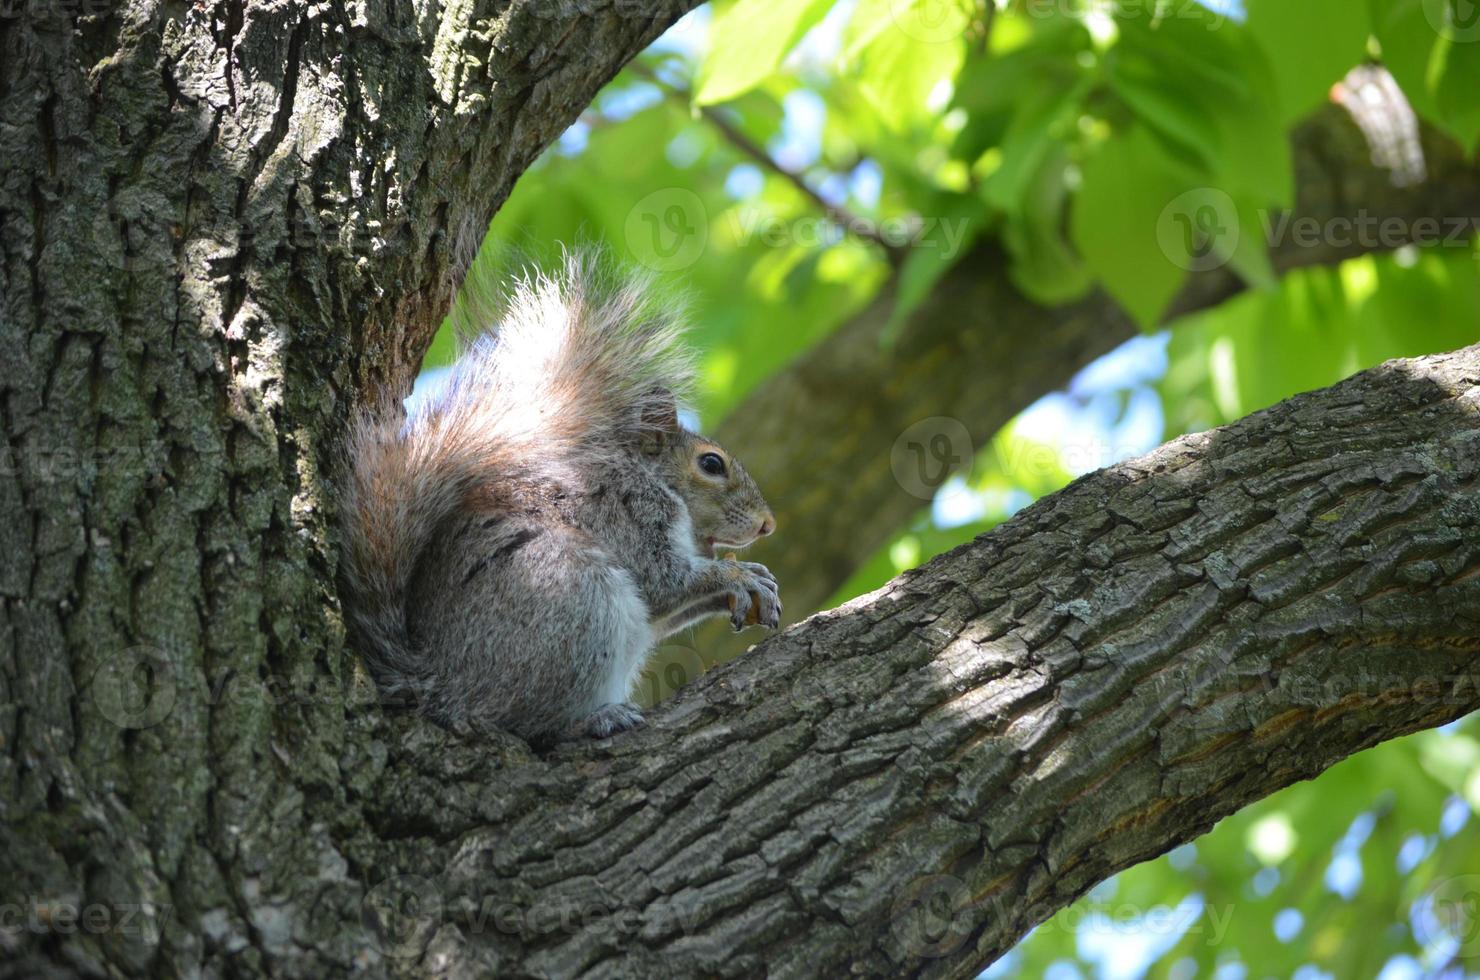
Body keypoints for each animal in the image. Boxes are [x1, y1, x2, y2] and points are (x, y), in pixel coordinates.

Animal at [338, 251, 781, 746]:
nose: (768, 524)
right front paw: (736, 576)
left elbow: (666, 609)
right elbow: (662, 580)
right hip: (572, 601)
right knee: (527, 724)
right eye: (711, 464)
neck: (653, 480)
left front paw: (752, 580)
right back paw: (593, 720)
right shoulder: (625, 512)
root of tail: (439, 683)